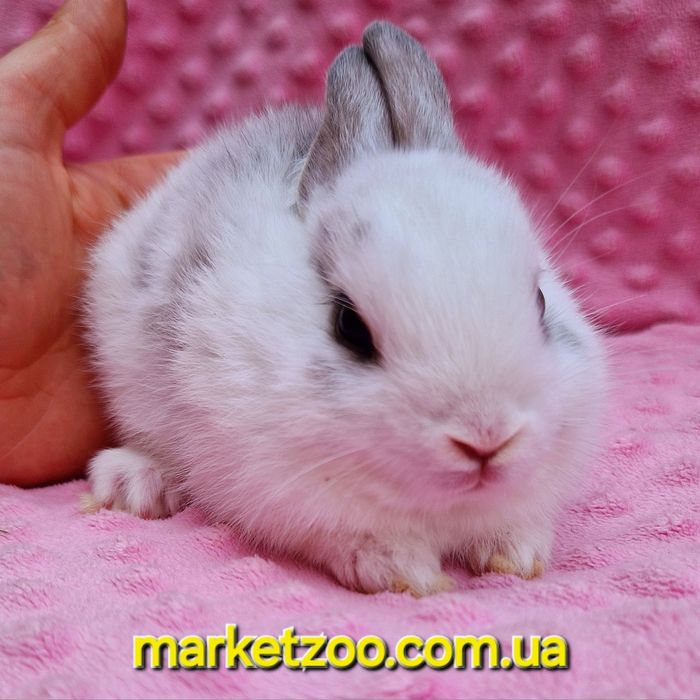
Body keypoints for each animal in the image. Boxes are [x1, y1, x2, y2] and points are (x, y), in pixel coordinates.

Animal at [83, 21, 607, 596]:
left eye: (540, 301)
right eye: (349, 326)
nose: (485, 438)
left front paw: (516, 557)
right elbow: (361, 540)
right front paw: (408, 574)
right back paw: (134, 483)